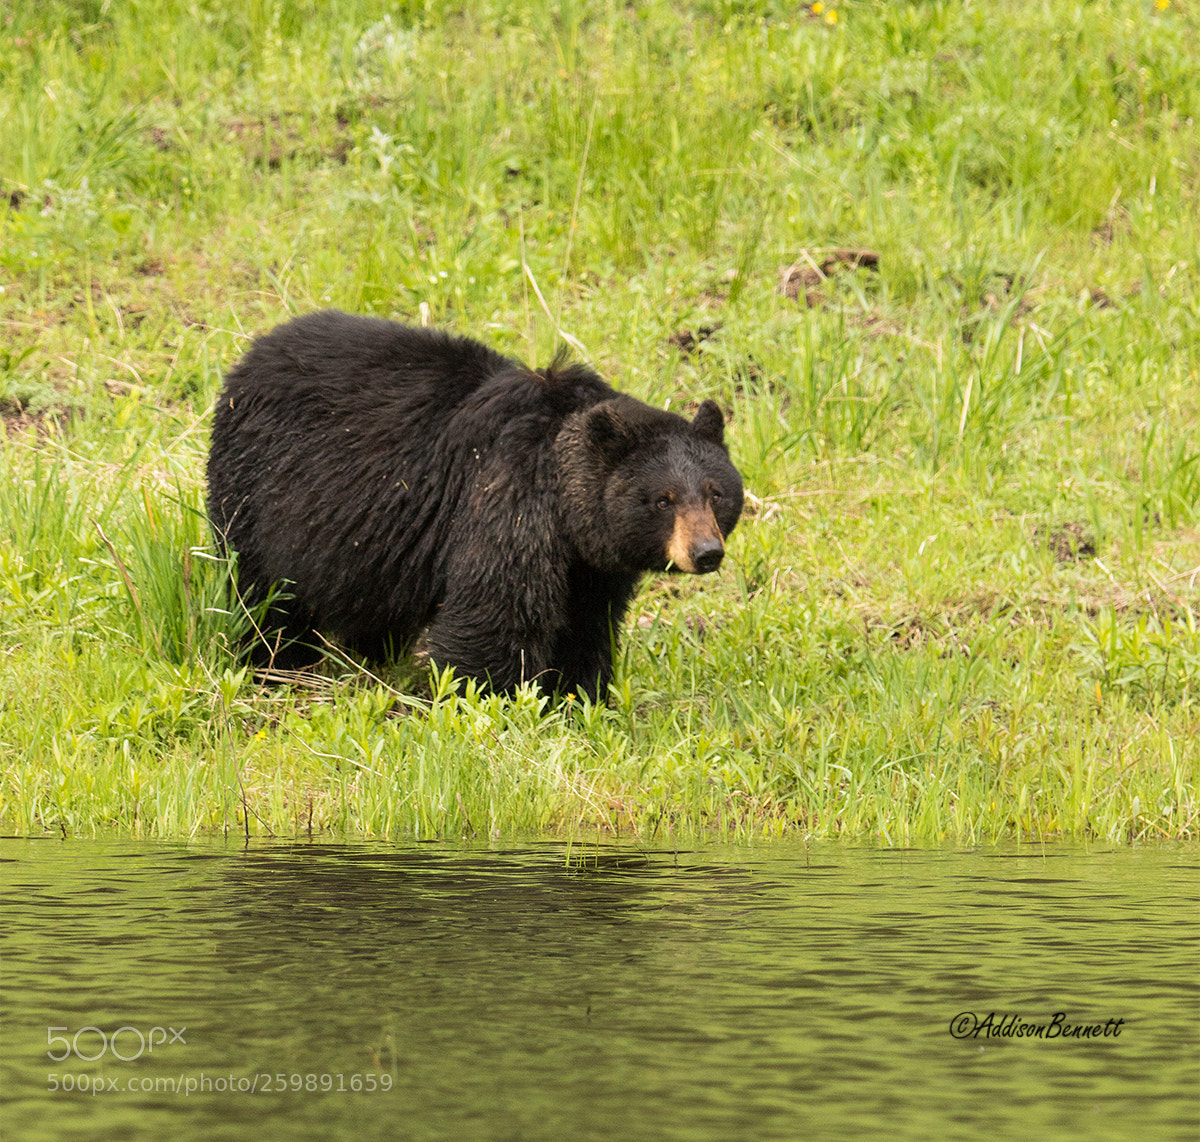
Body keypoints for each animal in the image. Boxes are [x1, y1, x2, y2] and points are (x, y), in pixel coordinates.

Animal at [206, 310, 743, 700]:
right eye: (662, 500)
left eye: (716, 493)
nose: (706, 552)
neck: (565, 506)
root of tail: (250, 355)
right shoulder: (508, 498)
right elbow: (496, 614)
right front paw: (487, 701)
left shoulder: (592, 565)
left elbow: (585, 626)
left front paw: (578, 698)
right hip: (258, 496)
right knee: (266, 595)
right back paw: (277, 664)